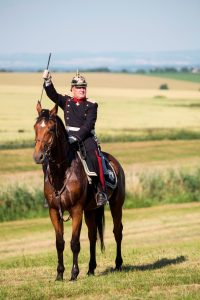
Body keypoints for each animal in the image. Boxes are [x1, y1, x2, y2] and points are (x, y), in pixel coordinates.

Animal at [33, 101, 125, 282]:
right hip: (90, 210)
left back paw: (118, 264)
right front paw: (59, 274)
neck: (62, 172)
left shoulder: (76, 210)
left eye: (50, 129)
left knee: (117, 231)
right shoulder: (54, 211)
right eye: (35, 127)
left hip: (116, 205)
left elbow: (74, 243)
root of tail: (114, 161)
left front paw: (74, 274)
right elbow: (59, 243)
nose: (38, 156)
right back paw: (91, 269)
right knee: (92, 236)